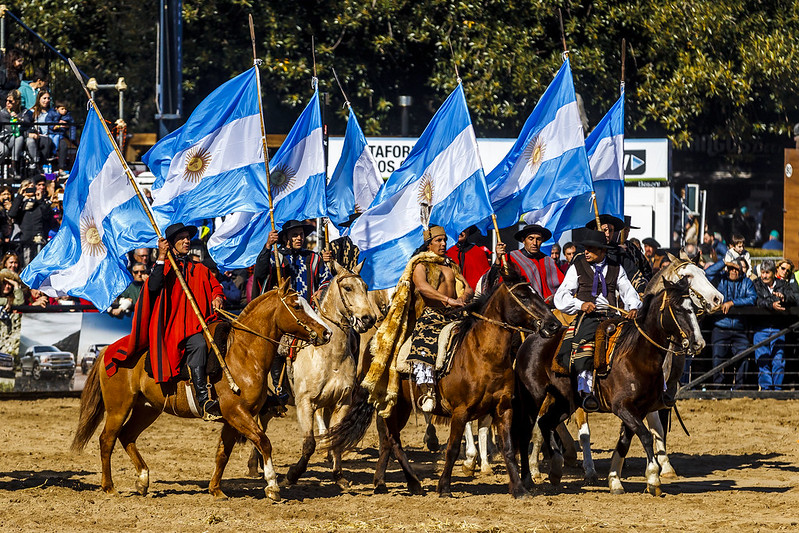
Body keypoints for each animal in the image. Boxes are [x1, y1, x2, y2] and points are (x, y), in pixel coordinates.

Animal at [70, 280, 330, 500]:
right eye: (297, 306)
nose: (326, 332)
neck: (244, 354)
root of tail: (109, 350)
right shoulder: (237, 413)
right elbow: (263, 441)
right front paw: (272, 485)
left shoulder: (232, 419)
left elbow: (223, 453)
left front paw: (216, 490)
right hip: (119, 407)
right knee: (107, 439)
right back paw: (109, 487)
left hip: (147, 409)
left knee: (127, 436)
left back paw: (143, 480)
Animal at [322, 270, 560, 498]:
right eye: (522, 295)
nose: (554, 324)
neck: (483, 355)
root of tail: (375, 342)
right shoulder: (460, 412)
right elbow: (453, 449)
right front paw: (444, 487)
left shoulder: (504, 408)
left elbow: (509, 448)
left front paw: (519, 489)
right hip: (393, 403)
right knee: (393, 440)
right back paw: (414, 483)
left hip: (400, 406)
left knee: (389, 440)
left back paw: (383, 482)